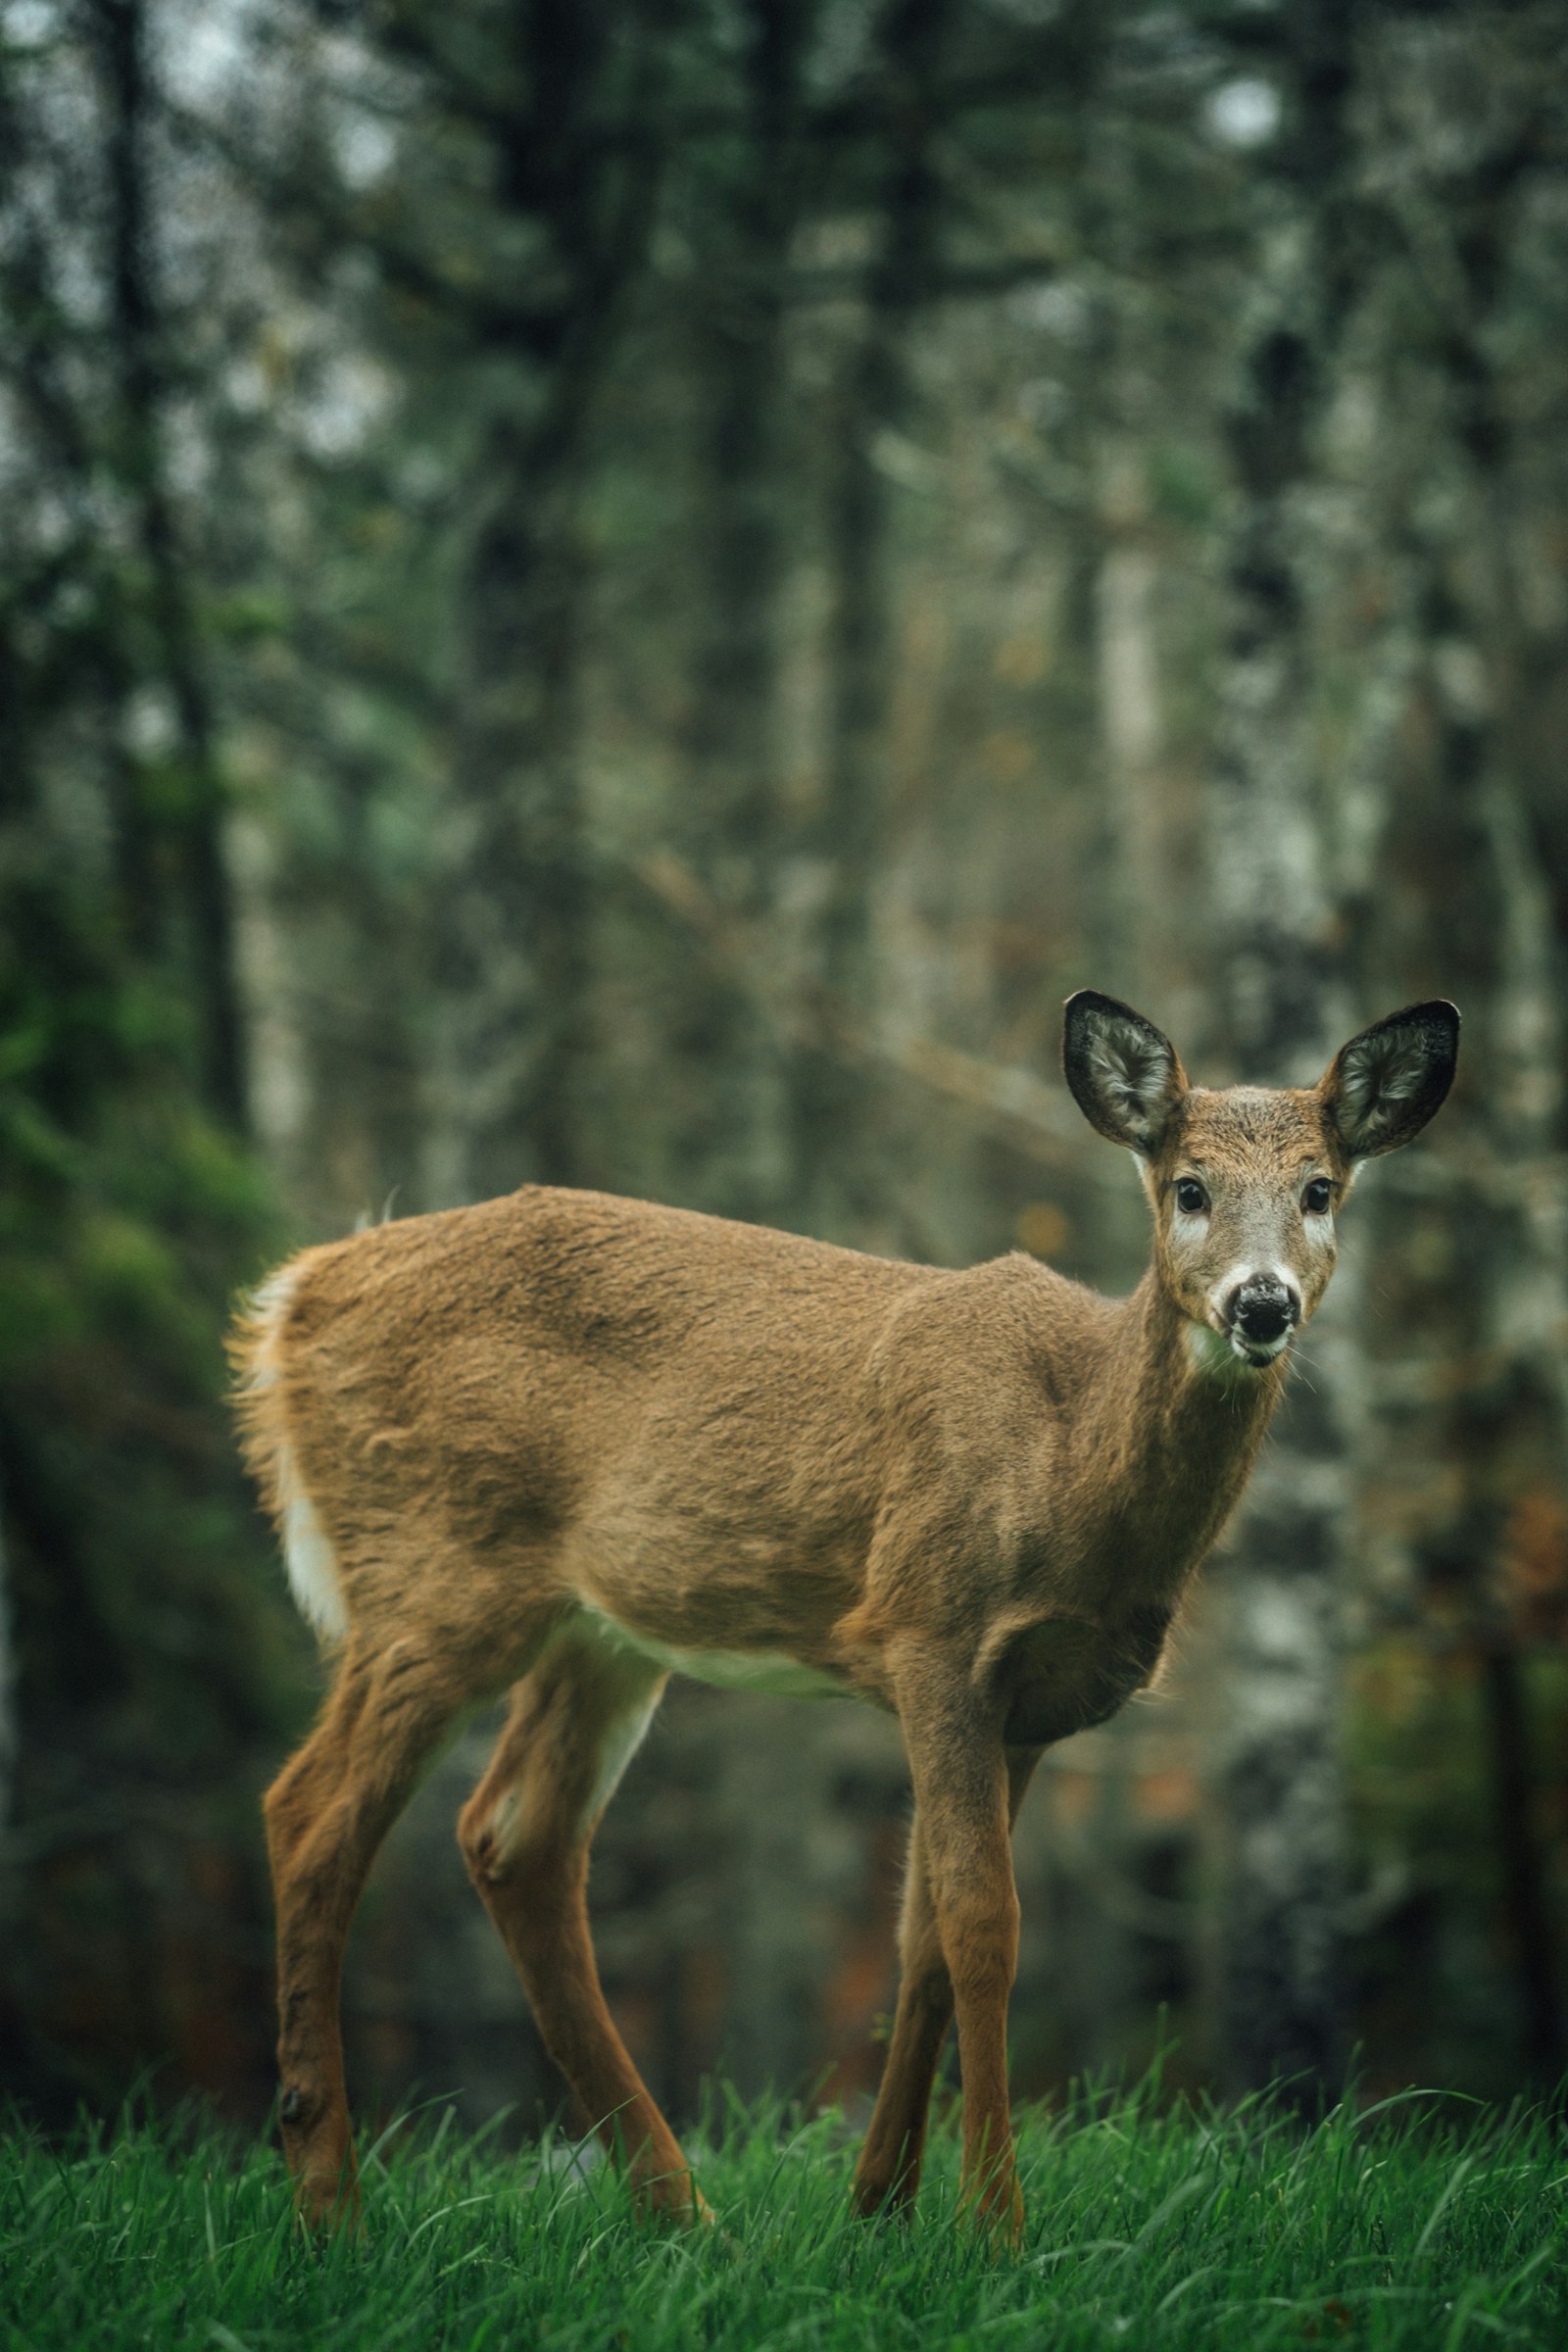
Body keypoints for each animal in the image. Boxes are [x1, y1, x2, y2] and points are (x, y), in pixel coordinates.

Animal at [230, 992, 1457, 2238]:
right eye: (1189, 1187)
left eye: (1321, 1188)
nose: (1262, 1302)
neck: (1066, 1467)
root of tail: (292, 1299)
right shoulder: (932, 1627)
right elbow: (981, 1923)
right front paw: (992, 2225)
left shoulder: (1032, 1704)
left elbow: (920, 1939)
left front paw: (880, 2205)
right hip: (431, 1570)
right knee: (310, 1814)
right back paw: (332, 2204)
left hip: (601, 1630)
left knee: (513, 1838)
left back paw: (680, 2210)